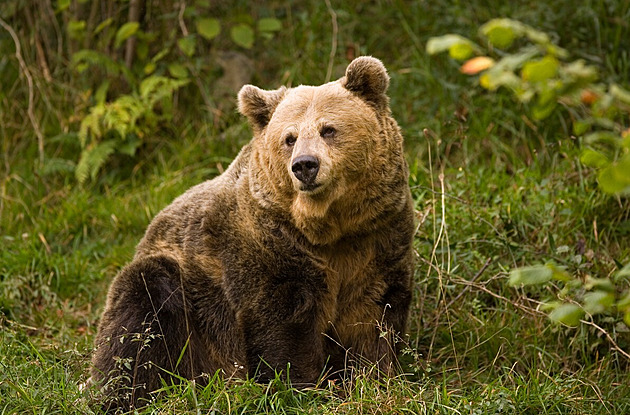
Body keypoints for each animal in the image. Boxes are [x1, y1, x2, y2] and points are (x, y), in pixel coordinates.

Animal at [89, 56, 414, 410]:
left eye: (329, 129)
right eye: (289, 137)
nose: (305, 165)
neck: (327, 229)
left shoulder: (377, 239)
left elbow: (374, 317)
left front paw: (374, 380)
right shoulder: (267, 247)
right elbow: (281, 324)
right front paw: (300, 388)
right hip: (187, 303)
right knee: (138, 320)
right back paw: (125, 396)